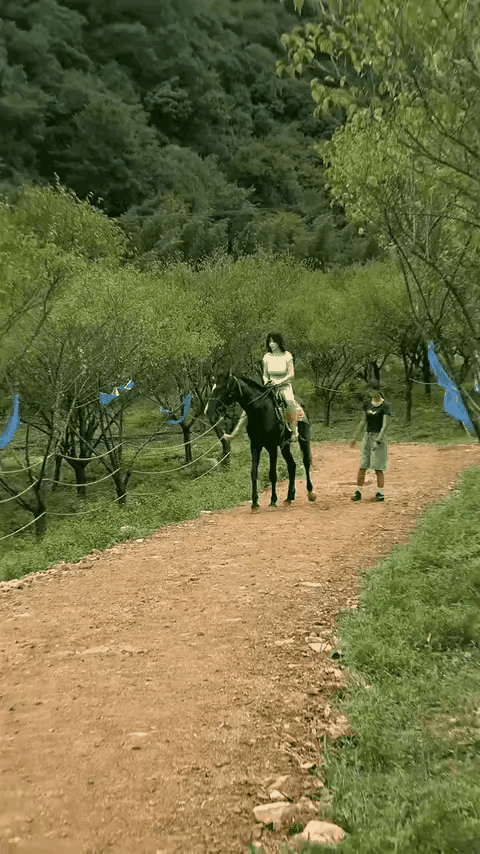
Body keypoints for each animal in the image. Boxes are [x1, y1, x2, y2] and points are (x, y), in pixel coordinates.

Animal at [205, 369, 317, 511]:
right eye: (213, 387)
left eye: (224, 387)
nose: (208, 411)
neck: (261, 410)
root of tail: (301, 403)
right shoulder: (255, 446)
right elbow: (253, 473)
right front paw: (254, 503)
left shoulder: (272, 447)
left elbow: (272, 474)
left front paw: (273, 501)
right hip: (284, 446)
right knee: (292, 465)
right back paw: (289, 498)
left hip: (304, 440)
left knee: (306, 462)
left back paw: (310, 493)